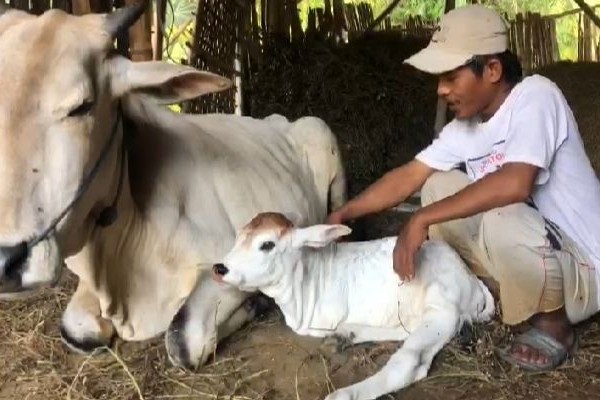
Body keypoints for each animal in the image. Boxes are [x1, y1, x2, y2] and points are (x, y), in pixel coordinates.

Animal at [0, 3, 346, 370]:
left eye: (82, 106)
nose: (7, 262)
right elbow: (77, 328)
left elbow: (182, 339)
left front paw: (255, 303)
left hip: (326, 146)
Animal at [213, 212, 494, 400]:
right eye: (239, 237)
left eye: (267, 245)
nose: (219, 268)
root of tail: (471, 277)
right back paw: (345, 335)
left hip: (442, 309)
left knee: (408, 363)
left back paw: (345, 394)